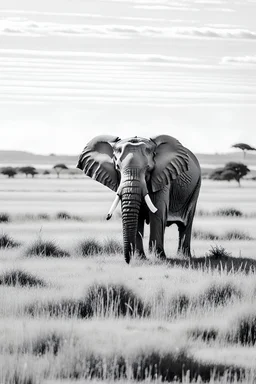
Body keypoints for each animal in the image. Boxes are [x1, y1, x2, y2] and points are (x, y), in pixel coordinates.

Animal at [77, 135, 201, 264]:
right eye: (117, 167)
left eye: (148, 168)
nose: (127, 261)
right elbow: (137, 216)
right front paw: (140, 258)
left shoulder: (162, 177)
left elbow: (158, 214)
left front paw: (158, 258)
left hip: (196, 186)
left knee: (186, 223)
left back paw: (184, 257)